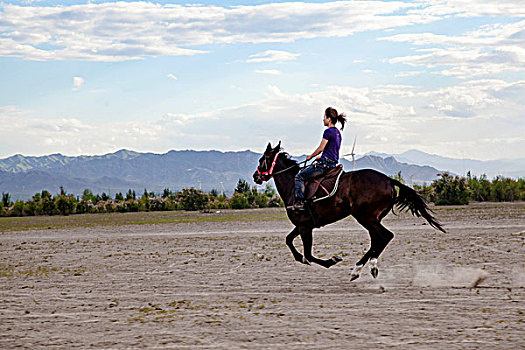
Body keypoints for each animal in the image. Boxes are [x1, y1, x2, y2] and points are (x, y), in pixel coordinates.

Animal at [252, 141, 444, 280]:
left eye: (262, 160)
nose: (255, 176)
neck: (293, 186)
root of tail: (388, 180)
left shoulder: (305, 227)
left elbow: (308, 254)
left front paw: (332, 260)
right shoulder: (302, 225)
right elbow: (290, 242)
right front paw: (306, 259)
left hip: (366, 217)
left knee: (385, 236)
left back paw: (367, 267)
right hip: (372, 219)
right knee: (376, 240)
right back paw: (359, 269)